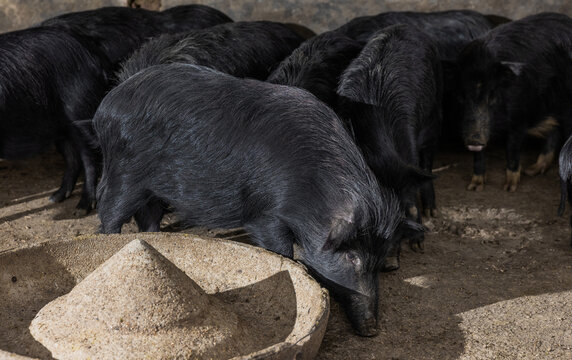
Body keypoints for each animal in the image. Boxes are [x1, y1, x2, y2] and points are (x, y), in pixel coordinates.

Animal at [91, 62, 418, 338]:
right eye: (352, 257)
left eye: (379, 260)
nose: (372, 329)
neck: (311, 193)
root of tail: (106, 107)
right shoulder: (265, 214)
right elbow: (281, 250)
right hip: (125, 174)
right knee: (109, 213)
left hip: (154, 190)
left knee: (147, 218)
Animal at [458, 13, 572, 193]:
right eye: (463, 97)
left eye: (492, 96)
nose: (474, 141)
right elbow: (479, 155)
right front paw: (474, 187)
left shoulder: (519, 117)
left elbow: (512, 148)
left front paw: (508, 188)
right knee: (554, 131)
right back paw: (532, 170)